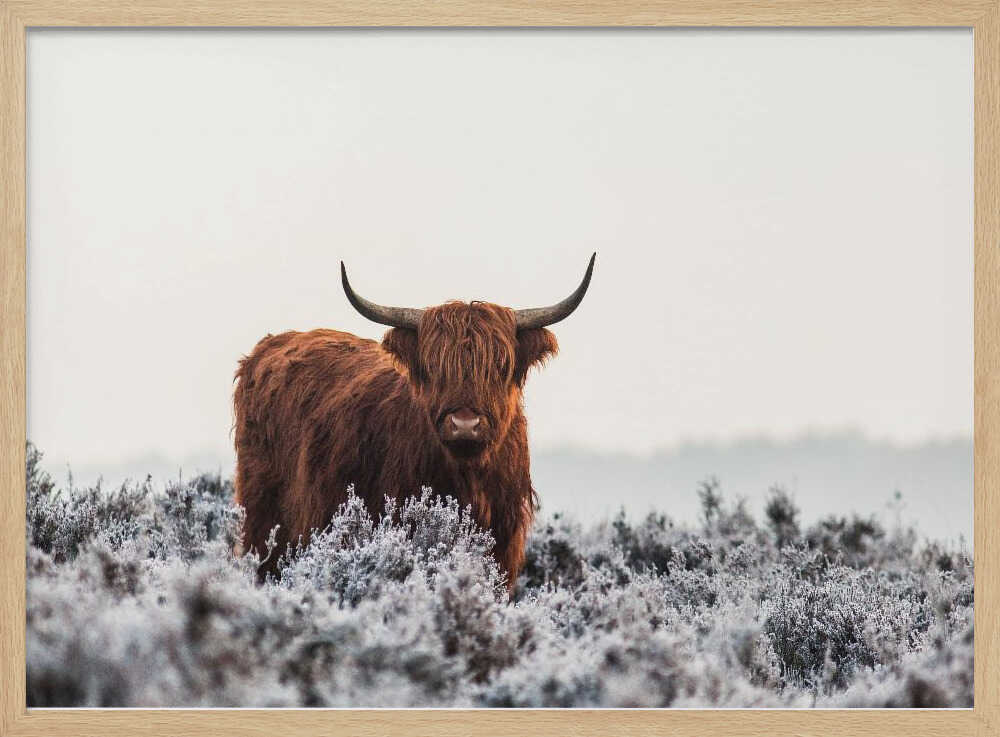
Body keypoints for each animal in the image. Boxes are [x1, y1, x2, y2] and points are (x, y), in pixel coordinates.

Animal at [233, 254, 595, 589]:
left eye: (500, 366)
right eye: (433, 366)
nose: (464, 424)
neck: (467, 478)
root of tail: (271, 344)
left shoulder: (503, 547)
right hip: (263, 519)